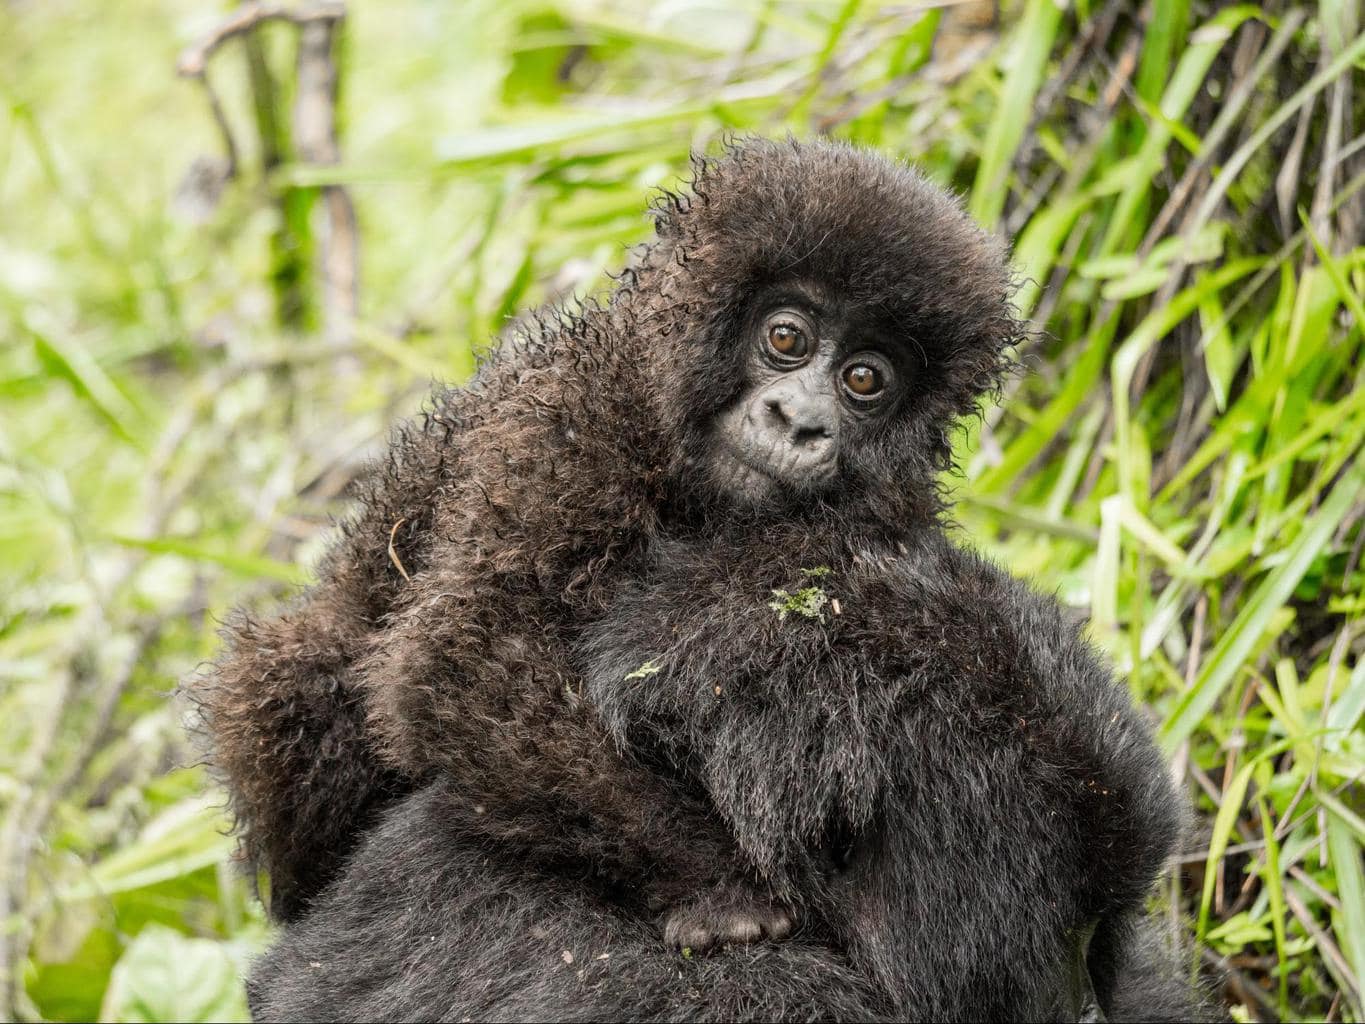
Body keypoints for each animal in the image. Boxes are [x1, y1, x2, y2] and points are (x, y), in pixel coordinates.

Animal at [195, 140, 1206, 1021]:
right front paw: (726, 892)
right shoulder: (571, 425)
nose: (800, 420)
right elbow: (467, 664)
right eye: (786, 337)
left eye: (865, 380)